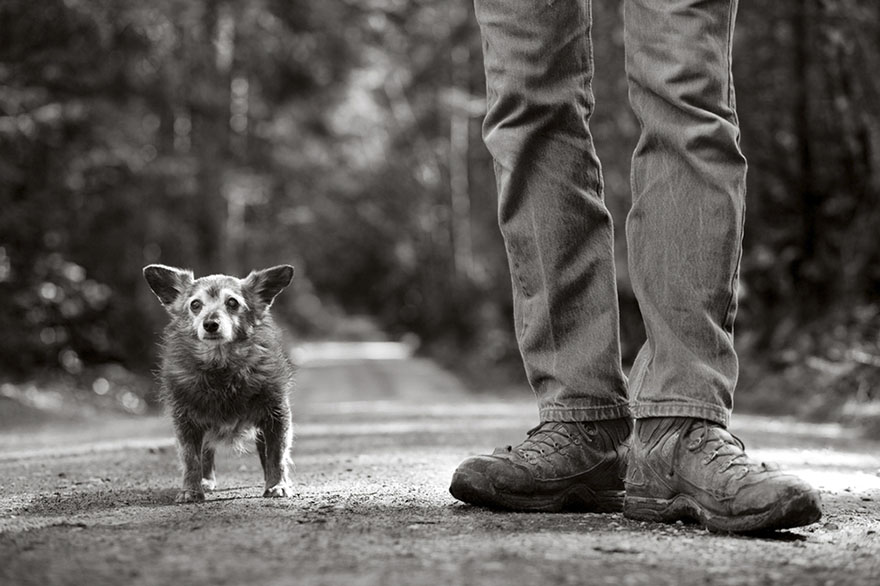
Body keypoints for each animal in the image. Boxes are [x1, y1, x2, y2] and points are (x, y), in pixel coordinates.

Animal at [144, 262, 296, 500]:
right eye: (195, 304)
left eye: (232, 302)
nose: (210, 324)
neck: (221, 366)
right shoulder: (186, 421)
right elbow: (191, 458)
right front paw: (190, 490)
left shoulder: (276, 415)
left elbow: (276, 455)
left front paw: (278, 484)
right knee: (205, 453)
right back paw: (205, 480)